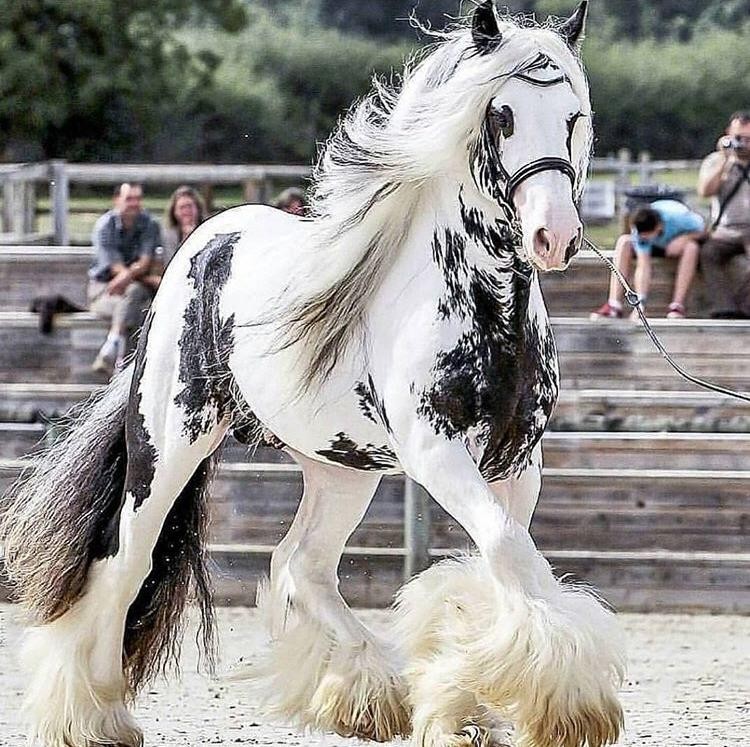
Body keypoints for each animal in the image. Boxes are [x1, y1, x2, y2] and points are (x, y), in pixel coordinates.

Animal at [0, 2, 626, 745]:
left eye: (572, 115)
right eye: (500, 115)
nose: (553, 237)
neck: (483, 303)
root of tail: (203, 243)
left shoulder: (517, 461)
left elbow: (503, 560)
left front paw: (467, 704)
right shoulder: (436, 451)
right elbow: (505, 549)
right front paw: (556, 704)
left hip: (340, 468)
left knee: (302, 564)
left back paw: (364, 694)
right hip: (169, 444)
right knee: (127, 562)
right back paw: (92, 715)